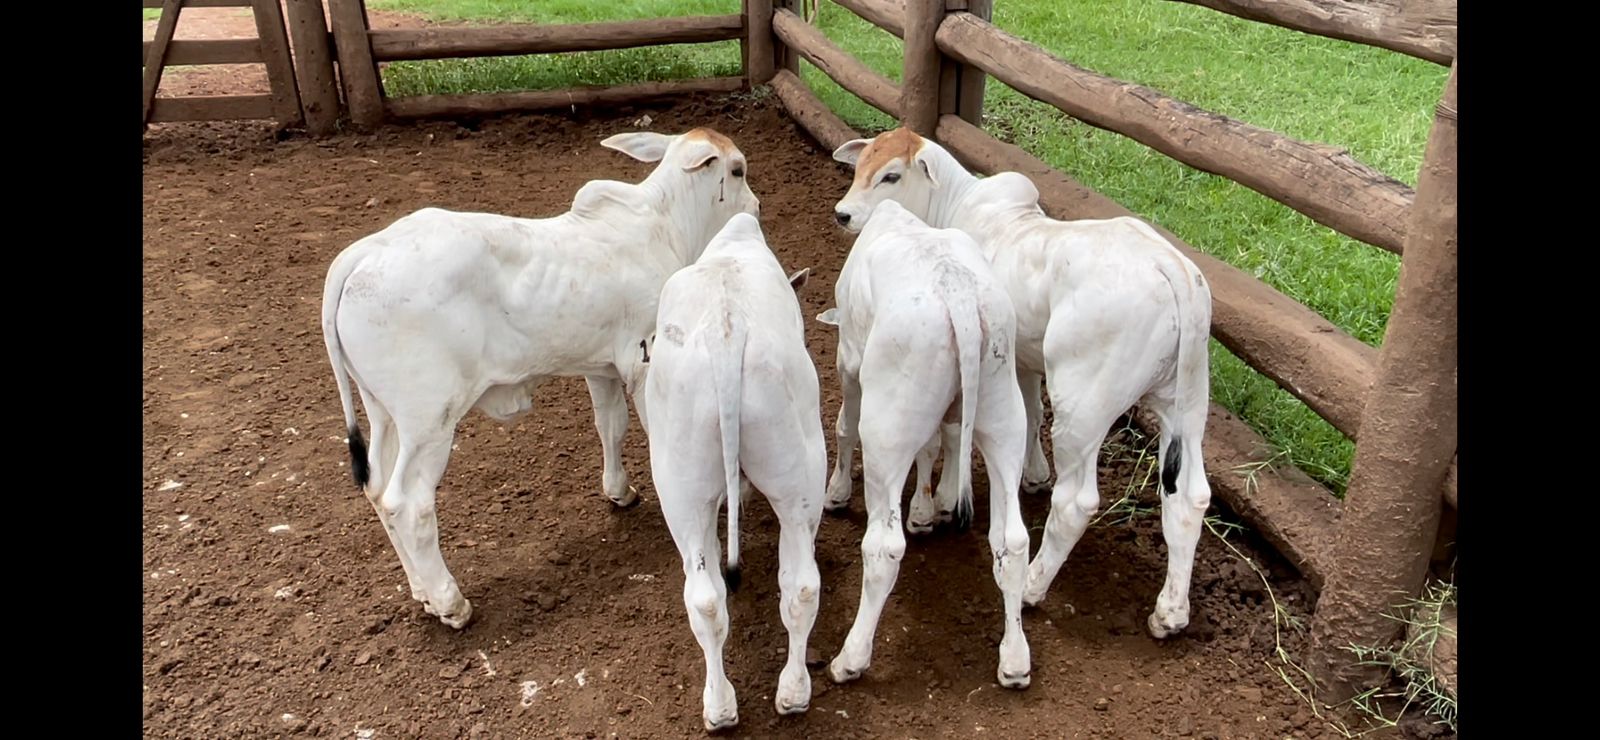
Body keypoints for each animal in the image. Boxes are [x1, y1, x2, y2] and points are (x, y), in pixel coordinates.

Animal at [320, 128, 760, 629]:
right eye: (737, 170)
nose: (755, 207)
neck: (666, 222)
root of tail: (363, 253)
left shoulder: (601, 367)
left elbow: (611, 426)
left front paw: (620, 491)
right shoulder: (644, 360)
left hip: (384, 413)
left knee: (376, 489)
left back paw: (421, 591)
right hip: (429, 420)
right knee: (407, 504)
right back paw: (451, 602)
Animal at [641, 213, 825, 730]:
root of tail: (728, 333)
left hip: (678, 492)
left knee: (703, 596)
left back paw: (718, 707)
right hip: (799, 477)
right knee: (800, 586)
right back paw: (791, 693)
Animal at [816, 199, 1033, 689]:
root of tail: (961, 299)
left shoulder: (849, 358)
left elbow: (843, 426)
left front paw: (836, 493)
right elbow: (939, 442)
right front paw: (928, 508)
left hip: (886, 430)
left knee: (883, 547)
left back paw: (850, 659)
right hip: (1004, 411)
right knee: (1012, 540)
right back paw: (1014, 661)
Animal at [829, 127, 1214, 640]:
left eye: (891, 175)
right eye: (860, 166)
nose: (844, 214)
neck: (954, 205)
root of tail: (1170, 268)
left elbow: (956, 431)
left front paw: (946, 500)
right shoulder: (1024, 362)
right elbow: (1030, 415)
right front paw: (1032, 474)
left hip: (1083, 408)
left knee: (1076, 502)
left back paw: (1032, 584)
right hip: (1185, 403)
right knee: (1190, 497)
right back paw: (1169, 612)